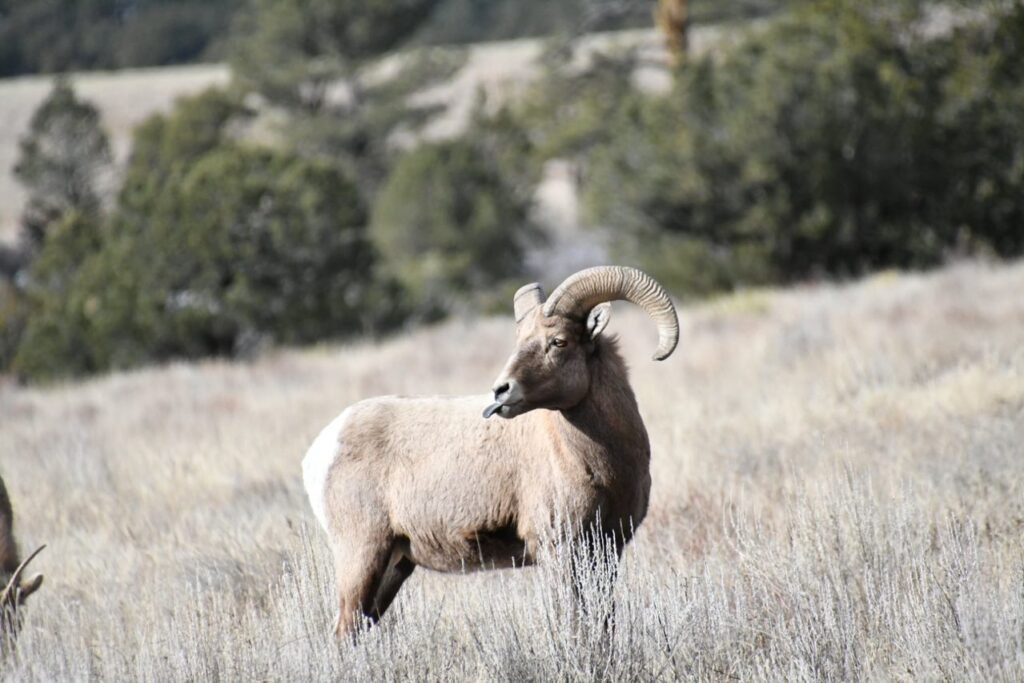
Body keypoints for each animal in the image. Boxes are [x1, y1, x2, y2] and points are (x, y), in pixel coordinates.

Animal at [299, 266, 675, 634]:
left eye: (558, 341)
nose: (501, 391)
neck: (602, 466)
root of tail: (323, 447)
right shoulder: (559, 549)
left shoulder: (607, 551)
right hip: (361, 556)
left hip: (394, 566)